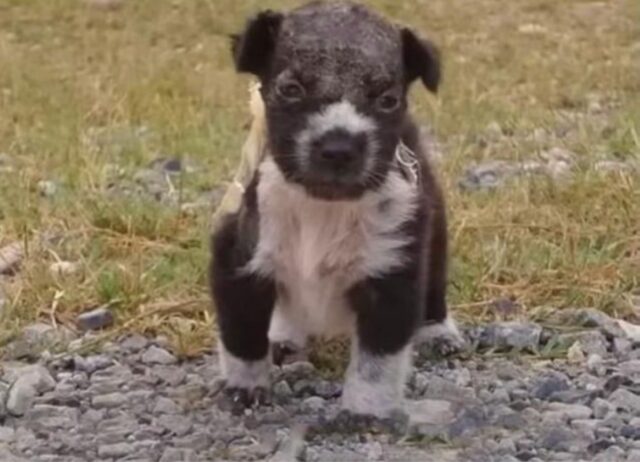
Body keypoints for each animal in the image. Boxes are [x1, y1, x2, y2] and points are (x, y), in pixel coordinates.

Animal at [212, 0, 462, 418]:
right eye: (290, 89)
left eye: (387, 100)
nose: (340, 147)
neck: (322, 205)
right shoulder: (237, 258)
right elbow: (242, 335)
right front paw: (245, 389)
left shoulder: (391, 274)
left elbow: (377, 360)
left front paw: (364, 412)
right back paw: (284, 336)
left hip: (434, 235)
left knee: (434, 287)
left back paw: (438, 331)